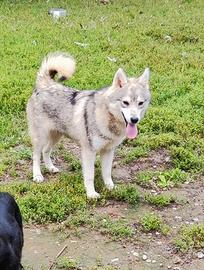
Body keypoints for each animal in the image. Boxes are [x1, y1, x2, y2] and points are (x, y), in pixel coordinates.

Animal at [26, 52, 151, 198]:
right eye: (125, 102)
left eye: (140, 103)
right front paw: (91, 194)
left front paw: (111, 188)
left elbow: (107, 173)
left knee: (46, 151)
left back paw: (50, 167)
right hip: (41, 137)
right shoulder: (89, 152)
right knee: (36, 155)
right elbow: (90, 175)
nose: (134, 119)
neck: (107, 117)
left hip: (56, 136)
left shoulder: (108, 151)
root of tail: (45, 84)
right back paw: (37, 175)